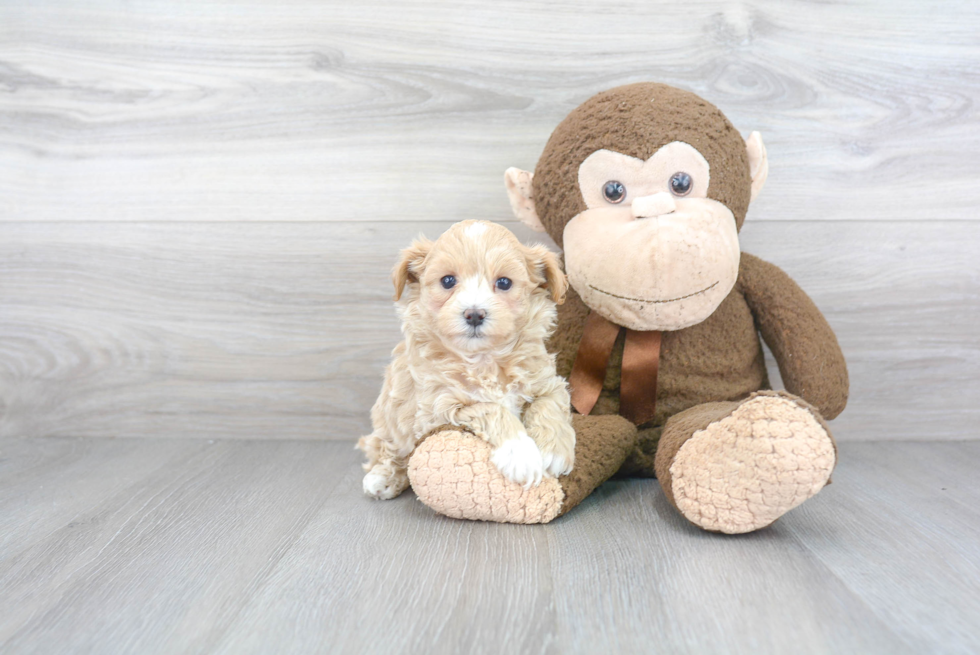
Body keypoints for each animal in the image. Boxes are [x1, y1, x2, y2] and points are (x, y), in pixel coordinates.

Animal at [358, 218, 576, 500]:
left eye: (504, 283)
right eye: (448, 280)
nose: (474, 314)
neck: (484, 360)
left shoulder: (548, 381)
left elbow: (548, 404)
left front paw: (554, 450)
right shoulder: (438, 407)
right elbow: (490, 408)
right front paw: (520, 453)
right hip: (389, 419)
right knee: (387, 450)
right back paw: (382, 478)